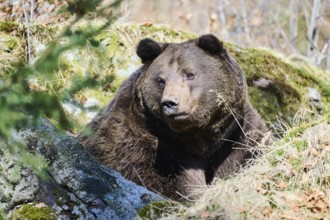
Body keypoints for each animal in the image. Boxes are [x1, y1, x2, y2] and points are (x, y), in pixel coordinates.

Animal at [78, 34, 270, 201]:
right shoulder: (146, 143)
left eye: (190, 74)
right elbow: (168, 183)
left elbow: (248, 153)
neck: (199, 138)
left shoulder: (236, 135)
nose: (170, 103)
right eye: (161, 80)